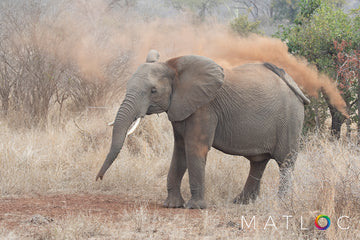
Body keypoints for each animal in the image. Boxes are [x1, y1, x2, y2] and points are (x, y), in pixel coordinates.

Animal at [95, 50, 310, 208]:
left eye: (153, 91)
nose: (98, 179)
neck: (173, 67)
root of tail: (292, 83)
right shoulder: (181, 107)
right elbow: (180, 151)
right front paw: (171, 205)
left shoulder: (204, 107)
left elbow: (194, 148)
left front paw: (194, 207)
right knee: (258, 162)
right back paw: (241, 202)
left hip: (291, 118)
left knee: (285, 162)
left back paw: (281, 205)